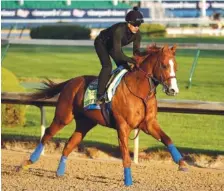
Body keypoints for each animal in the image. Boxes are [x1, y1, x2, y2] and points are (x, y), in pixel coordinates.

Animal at [18, 44, 187, 185]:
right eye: (164, 65)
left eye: (176, 67)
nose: (173, 90)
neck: (139, 91)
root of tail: (71, 81)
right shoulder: (123, 126)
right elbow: (125, 155)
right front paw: (128, 181)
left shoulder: (149, 123)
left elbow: (167, 139)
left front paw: (182, 164)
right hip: (63, 117)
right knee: (47, 134)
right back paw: (26, 163)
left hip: (85, 124)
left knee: (69, 144)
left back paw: (59, 172)